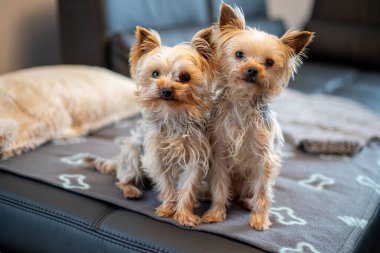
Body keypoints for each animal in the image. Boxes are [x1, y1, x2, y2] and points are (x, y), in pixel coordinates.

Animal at [84, 26, 214, 227]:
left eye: (185, 77)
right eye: (155, 74)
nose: (165, 90)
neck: (173, 115)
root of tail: (118, 162)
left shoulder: (196, 156)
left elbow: (189, 187)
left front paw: (184, 214)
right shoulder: (156, 157)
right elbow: (167, 184)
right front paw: (168, 208)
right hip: (132, 153)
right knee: (121, 180)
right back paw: (131, 190)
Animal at [202, 2, 314, 230]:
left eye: (269, 62)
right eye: (239, 54)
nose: (253, 69)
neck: (243, 103)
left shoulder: (264, 159)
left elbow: (263, 192)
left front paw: (260, 219)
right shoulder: (219, 154)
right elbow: (219, 187)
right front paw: (215, 213)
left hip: (249, 180)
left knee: (250, 192)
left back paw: (247, 202)